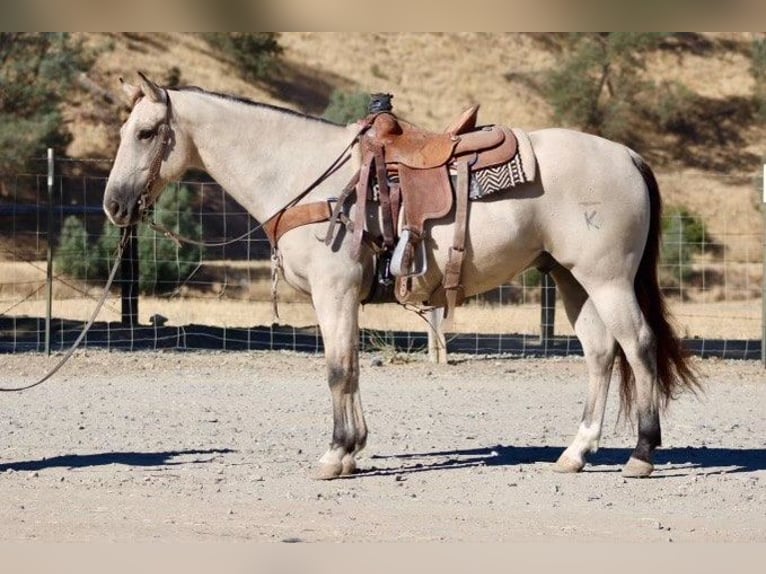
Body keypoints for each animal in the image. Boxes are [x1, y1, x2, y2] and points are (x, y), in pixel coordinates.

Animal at [103, 73, 700, 480]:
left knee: (639, 346)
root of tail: (627, 155)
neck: (305, 174)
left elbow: (338, 370)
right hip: (573, 280)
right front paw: (353, 450)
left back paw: (642, 454)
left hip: (608, 280)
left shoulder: (334, 292)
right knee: (601, 353)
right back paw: (576, 453)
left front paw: (335, 454)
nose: (113, 205)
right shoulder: (343, 298)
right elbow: (351, 368)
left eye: (148, 132)